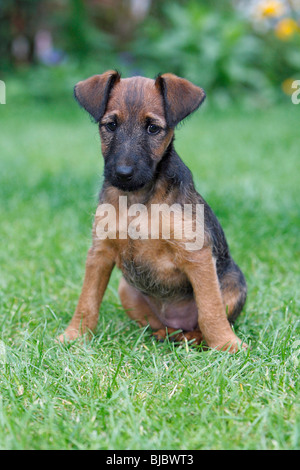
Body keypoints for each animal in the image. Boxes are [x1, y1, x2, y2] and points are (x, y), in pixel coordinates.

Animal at [58, 70, 246, 352]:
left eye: (152, 128)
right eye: (111, 125)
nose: (123, 173)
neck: (137, 199)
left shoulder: (197, 255)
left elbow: (210, 310)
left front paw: (226, 344)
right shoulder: (100, 252)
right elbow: (87, 301)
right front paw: (74, 336)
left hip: (234, 283)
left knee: (201, 322)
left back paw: (193, 338)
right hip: (127, 290)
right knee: (160, 325)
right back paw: (164, 334)